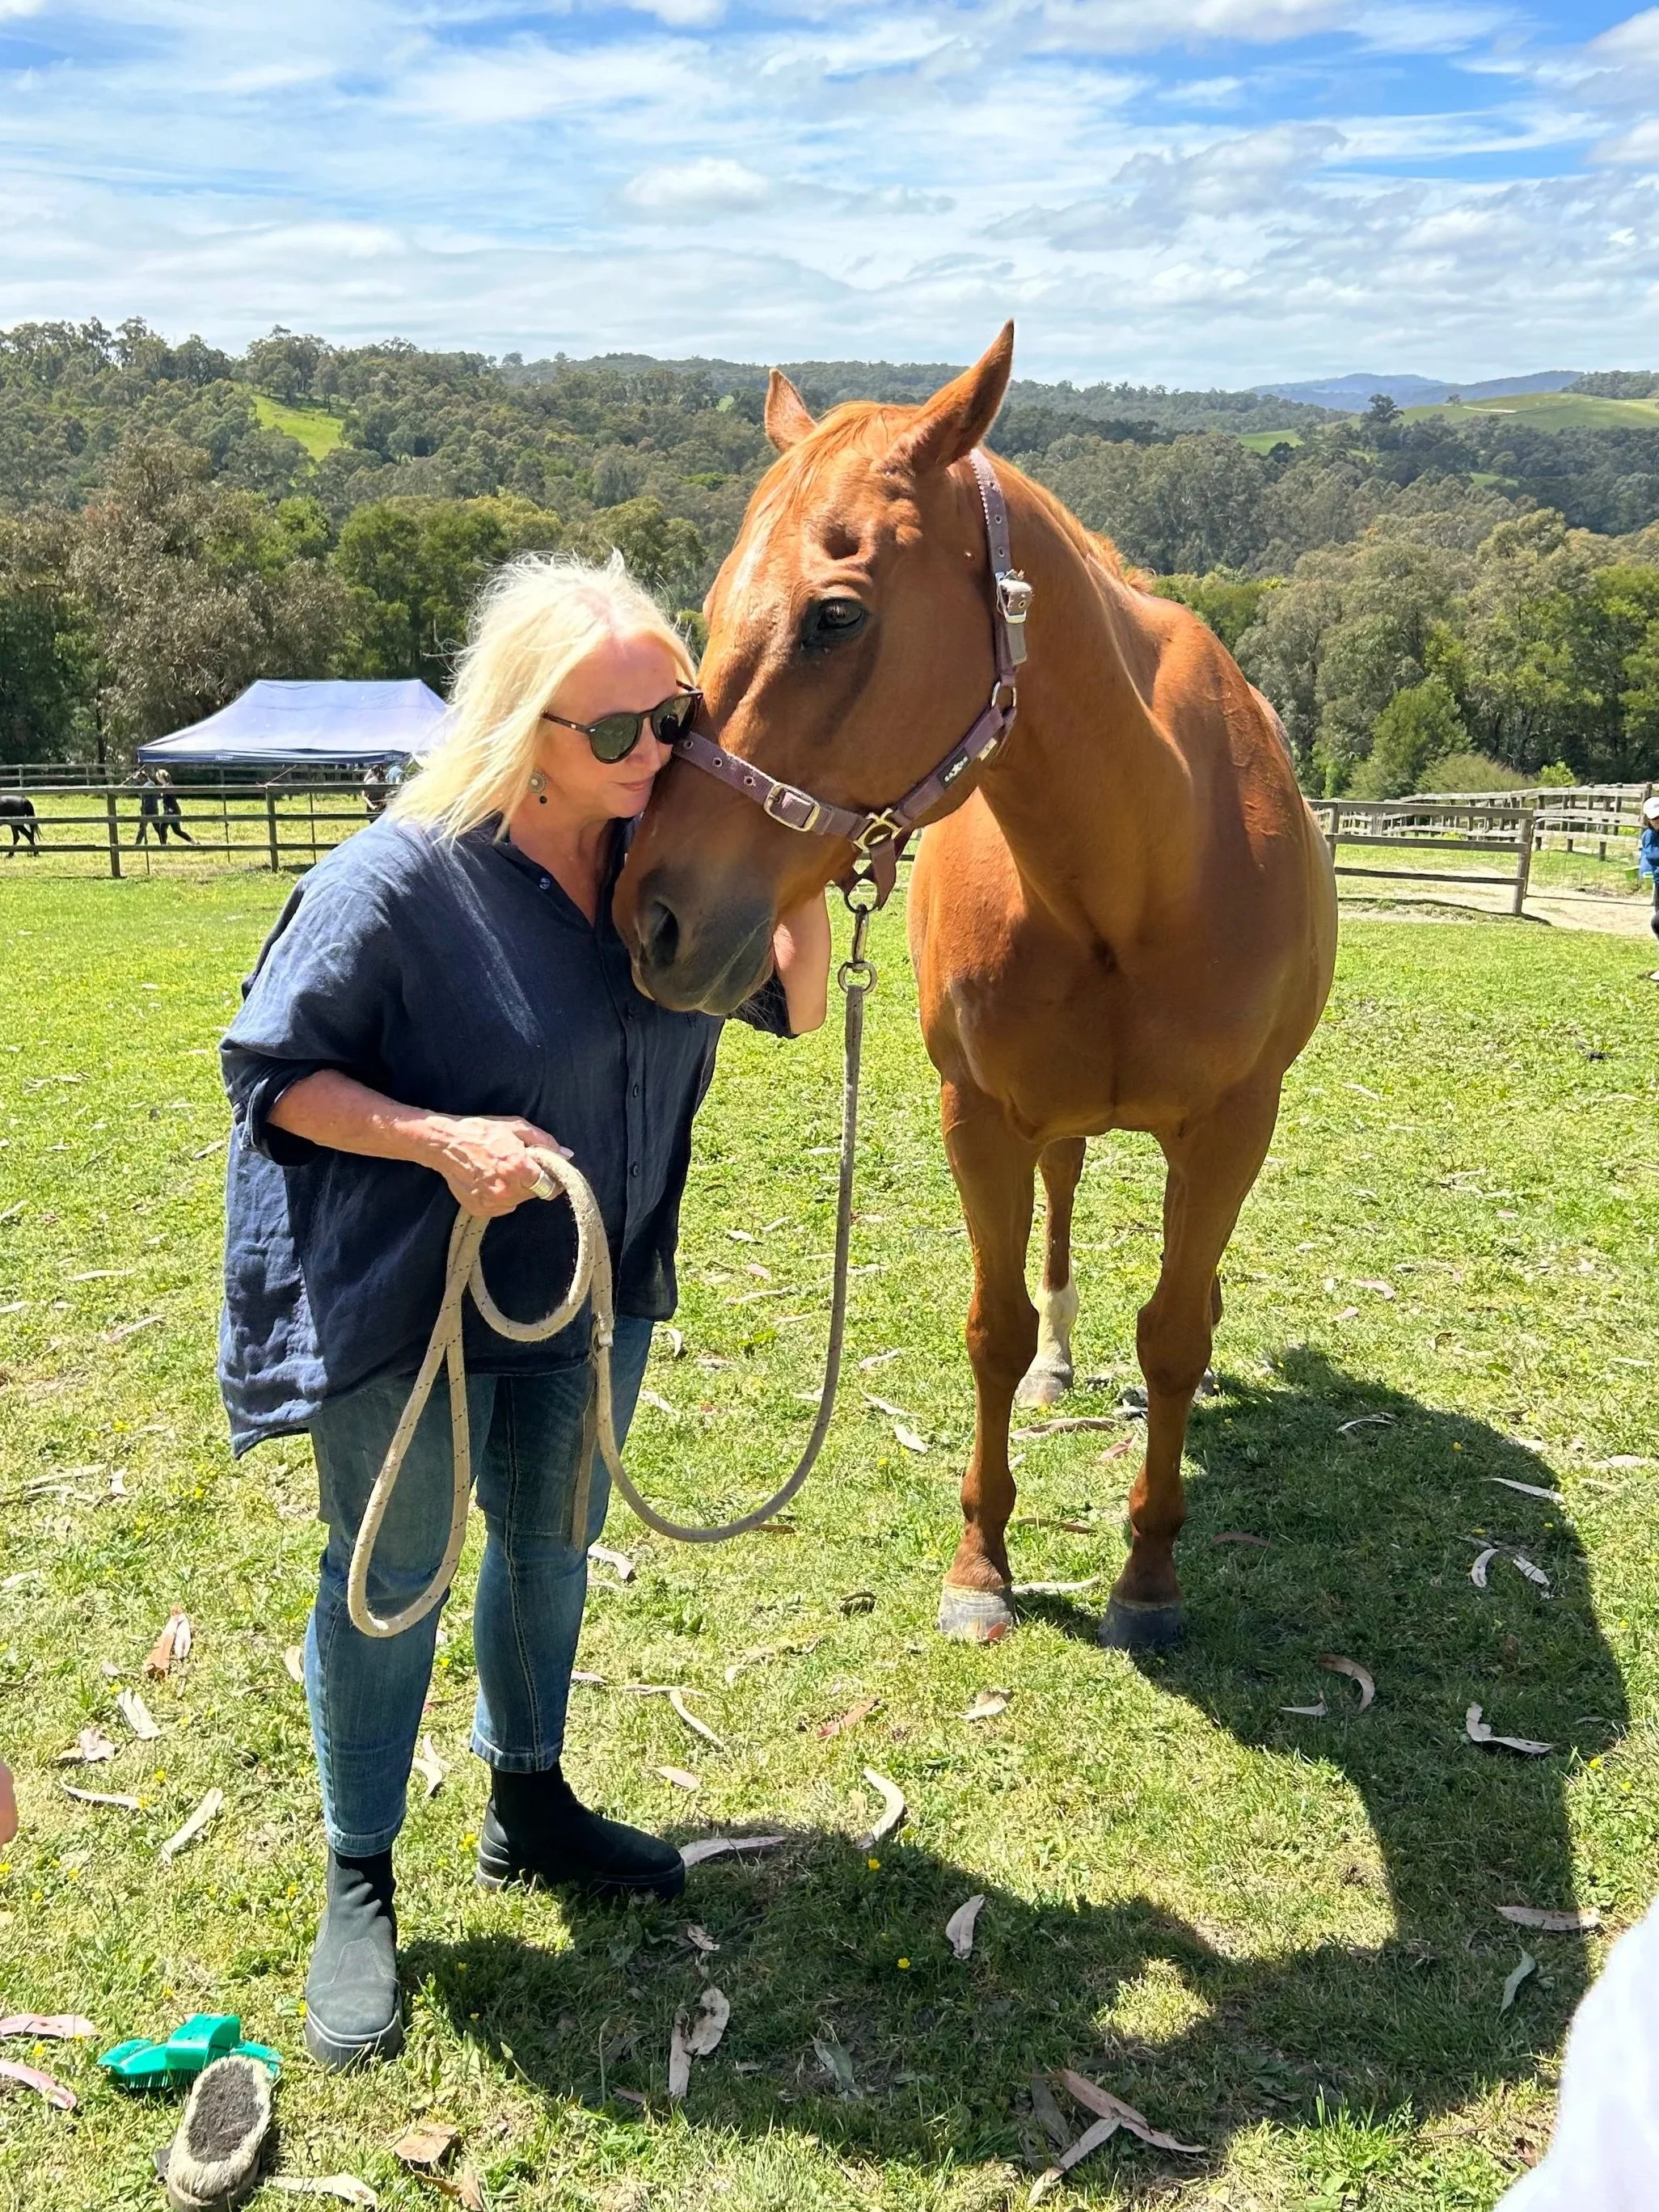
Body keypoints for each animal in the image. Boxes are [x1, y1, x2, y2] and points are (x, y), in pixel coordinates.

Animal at [614, 326, 1338, 1650]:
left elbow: (1174, 1338)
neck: (1140, 860)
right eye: (713, 606)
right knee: (1061, 1204)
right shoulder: (982, 1116)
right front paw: (983, 1564)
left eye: (836, 617)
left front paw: (1148, 1577)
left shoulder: (1233, 1127)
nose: (654, 920)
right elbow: (993, 1333)